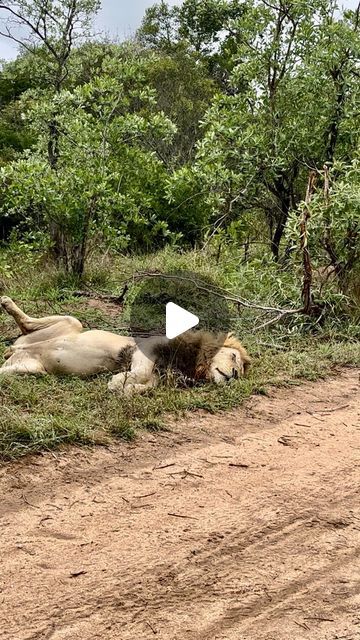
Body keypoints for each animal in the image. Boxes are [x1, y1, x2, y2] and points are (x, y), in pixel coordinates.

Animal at [0, 296, 250, 396]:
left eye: (240, 370)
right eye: (234, 358)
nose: (236, 374)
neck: (193, 365)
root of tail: (16, 350)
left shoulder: (157, 379)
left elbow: (143, 386)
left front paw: (124, 389)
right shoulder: (146, 347)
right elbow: (139, 371)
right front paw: (117, 381)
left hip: (32, 369)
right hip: (72, 324)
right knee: (34, 322)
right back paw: (6, 302)